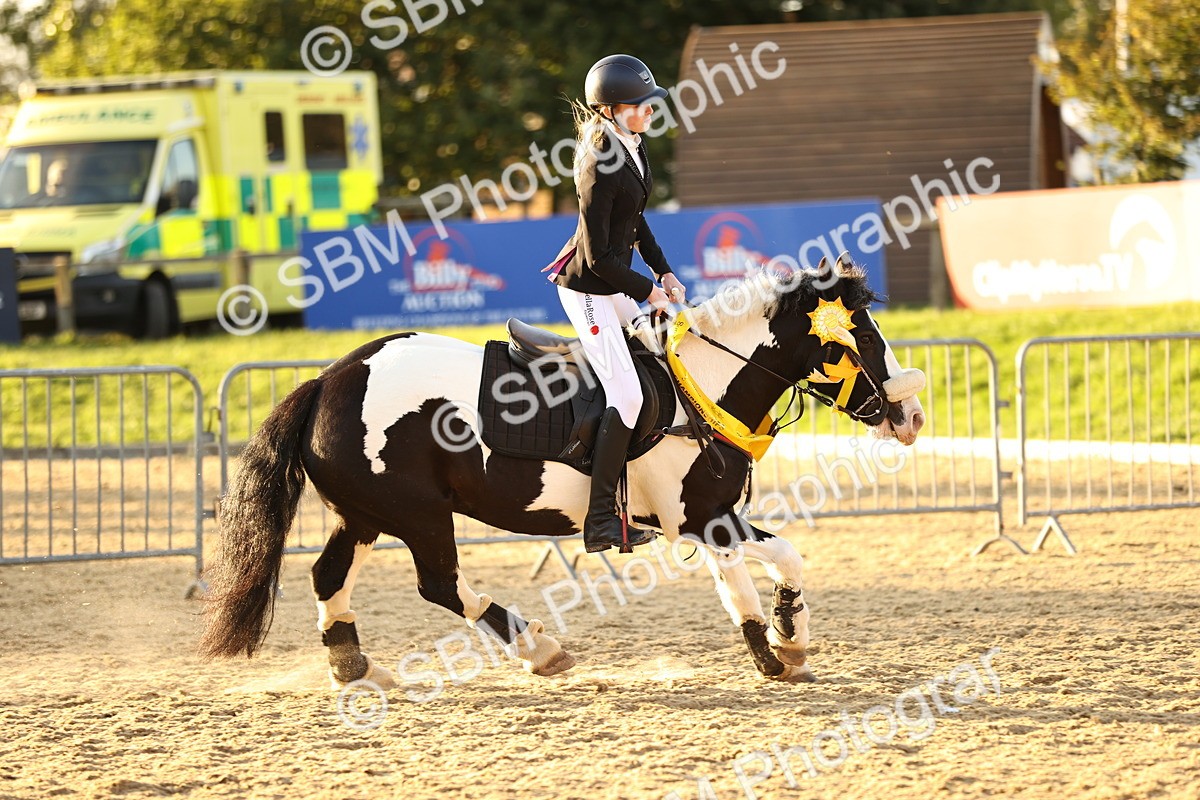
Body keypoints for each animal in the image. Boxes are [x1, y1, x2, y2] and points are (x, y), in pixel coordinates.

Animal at [200, 257, 926, 686]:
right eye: (862, 337)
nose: (912, 414)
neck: (701, 385)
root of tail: (327, 380)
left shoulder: (717, 517)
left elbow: (775, 567)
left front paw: (787, 640)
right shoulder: (700, 521)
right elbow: (756, 578)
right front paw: (774, 653)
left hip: (364, 517)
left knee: (329, 575)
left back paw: (352, 665)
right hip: (419, 515)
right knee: (440, 585)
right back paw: (536, 648)